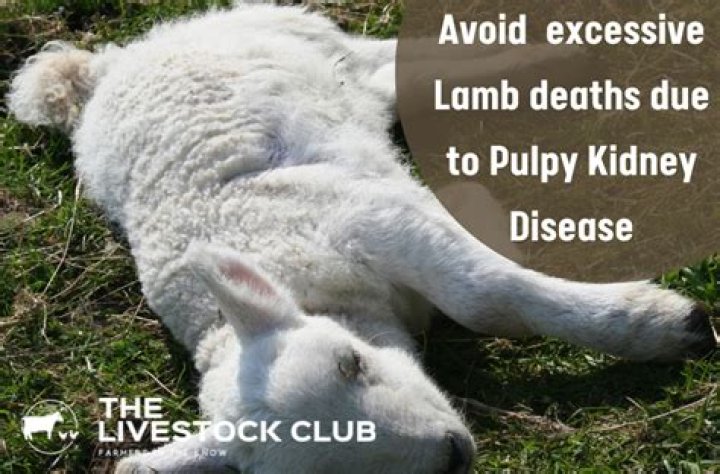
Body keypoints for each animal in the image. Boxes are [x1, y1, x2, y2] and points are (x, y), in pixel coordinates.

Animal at [8, 3, 717, 473]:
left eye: (352, 363)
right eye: (337, 468)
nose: (452, 454)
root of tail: (104, 67)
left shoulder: (369, 218)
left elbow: (482, 294)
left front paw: (659, 322)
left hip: (295, 38)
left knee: (404, 61)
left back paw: (561, 52)